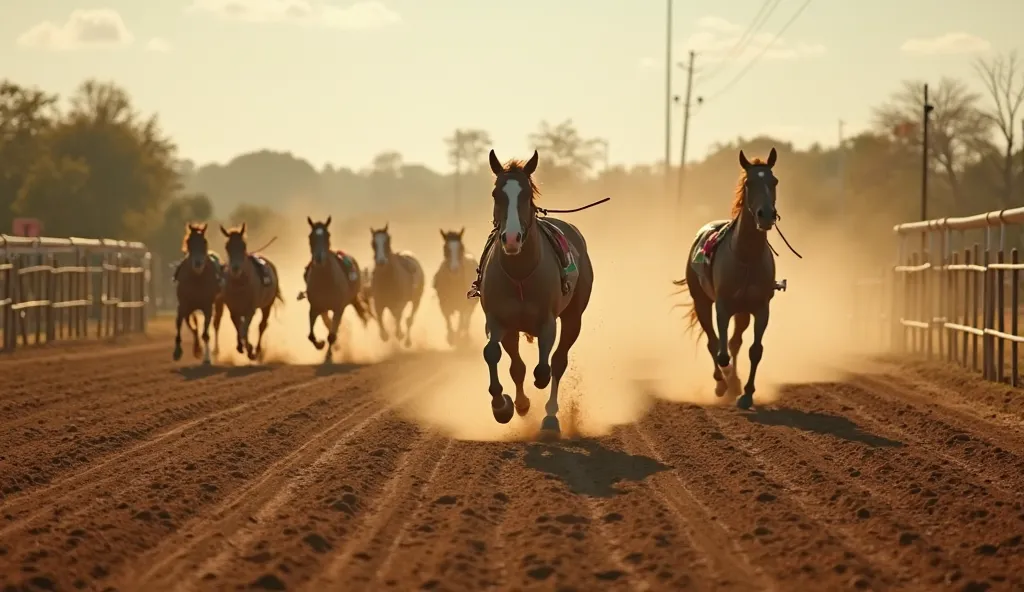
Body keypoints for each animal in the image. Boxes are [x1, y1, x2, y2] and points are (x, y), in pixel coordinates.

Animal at [171, 222, 225, 364]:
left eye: (204, 241)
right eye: (189, 241)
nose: (198, 263)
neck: (196, 278)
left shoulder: (207, 306)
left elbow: (205, 333)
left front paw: (207, 358)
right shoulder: (183, 305)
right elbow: (182, 324)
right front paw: (178, 351)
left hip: (219, 304)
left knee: (216, 325)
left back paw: (216, 350)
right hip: (190, 308)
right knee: (193, 325)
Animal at [216, 222, 280, 356]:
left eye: (243, 245)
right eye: (227, 246)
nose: (235, 268)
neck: (240, 284)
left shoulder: (250, 310)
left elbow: (244, 329)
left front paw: (250, 348)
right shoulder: (233, 310)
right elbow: (239, 327)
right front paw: (241, 346)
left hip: (267, 305)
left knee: (262, 325)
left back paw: (258, 350)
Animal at [299, 214, 370, 362]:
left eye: (328, 235)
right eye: (310, 236)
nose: (319, 258)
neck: (325, 279)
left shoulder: (338, 307)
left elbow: (331, 334)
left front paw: (328, 356)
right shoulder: (315, 307)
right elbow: (311, 335)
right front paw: (320, 344)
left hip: (351, 300)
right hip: (325, 308)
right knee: (328, 322)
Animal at [475, 148, 598, 438]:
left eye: (526, 194)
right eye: (496, 193)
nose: (511, 238)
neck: (520, 274)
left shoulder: (547, 320)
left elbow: (544, 369)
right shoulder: (498, 320)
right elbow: (495, 355)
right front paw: (504, 405)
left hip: (574, 317)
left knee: (558, 361)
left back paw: (550, 418)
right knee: (518, 366)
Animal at [671, 146, 782, 409]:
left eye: (774, 181)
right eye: (749, 182)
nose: (766, 215)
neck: (746, 256)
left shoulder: (760, 308)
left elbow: (754, 350)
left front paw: (746, 393)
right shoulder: (722, 306)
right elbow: (721, 352)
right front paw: (727, 383)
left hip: (742, 312)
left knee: (734, 342)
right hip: (702, 302)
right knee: (714, 343)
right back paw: (722, 384)